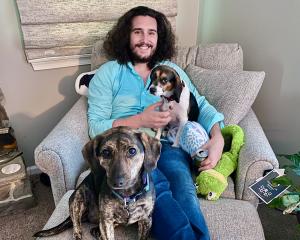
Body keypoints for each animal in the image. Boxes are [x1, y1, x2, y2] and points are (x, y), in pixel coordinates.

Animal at [33, 126, 162, 239]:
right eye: (106, 152)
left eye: (132, 151)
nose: (117, 182)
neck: (127, 196)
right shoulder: (106, 220)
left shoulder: (146, 220)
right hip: (78, 197)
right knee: (76, 223)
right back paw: (80, 233)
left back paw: (97, 231)